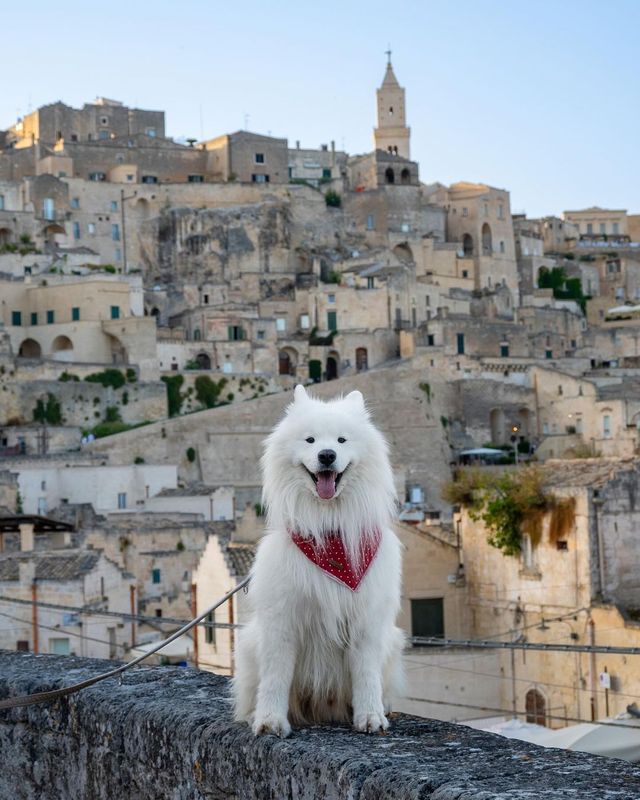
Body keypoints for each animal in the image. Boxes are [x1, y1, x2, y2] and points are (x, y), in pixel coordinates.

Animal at [232, 384, 402, 736]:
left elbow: (367, 675)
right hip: (250, 642)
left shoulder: (366, 620)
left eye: (341, 440)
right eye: (310, 440)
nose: (326, 455)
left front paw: (370, 716)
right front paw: (269, 720)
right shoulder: (282, 619)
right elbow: (275, 677)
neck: (329, 529)